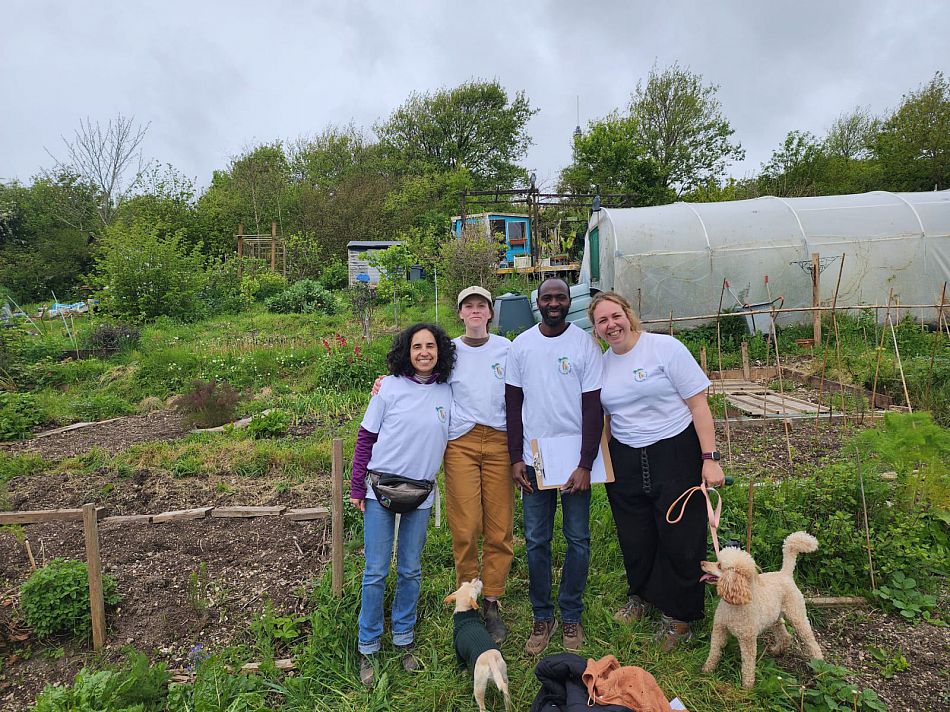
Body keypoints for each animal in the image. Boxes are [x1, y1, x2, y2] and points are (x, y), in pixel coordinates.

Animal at [446, 580, 512, 712]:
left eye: (475, 587)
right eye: (464, 584)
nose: (477, 578)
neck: (465, 614)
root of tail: (490, 659)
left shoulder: (458, 654)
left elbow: (462, 668)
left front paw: (463, 677)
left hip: (479, 686)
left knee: (482, 706)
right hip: (503, 674)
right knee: (506, 696)